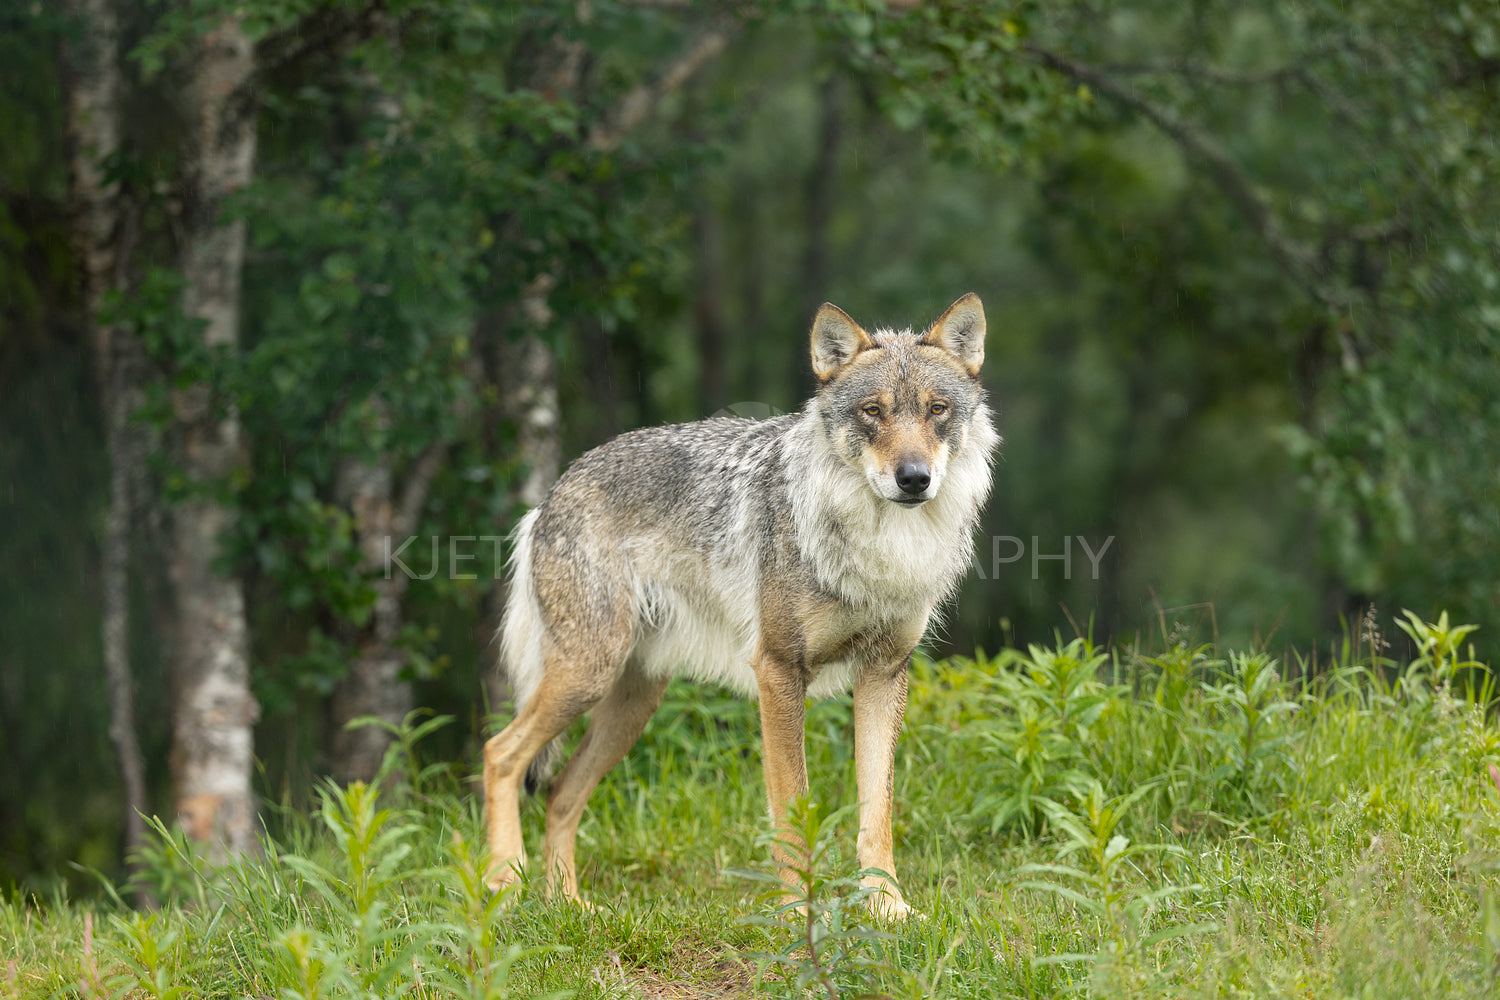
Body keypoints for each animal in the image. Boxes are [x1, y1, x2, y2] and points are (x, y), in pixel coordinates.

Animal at [480, 293, 996, 917]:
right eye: (872, 412)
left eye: (937, 409)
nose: (914, 478)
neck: (880, 545)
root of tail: (549, 496)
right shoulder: (777, 671)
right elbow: (793, 813)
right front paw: (798, 916)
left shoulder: (884, 673)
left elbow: (877, 812)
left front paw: (888, 908)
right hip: (587, 676)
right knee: (500, 755)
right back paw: (504, 888)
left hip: (631, 701)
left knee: (559, 791)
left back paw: (569, 908)